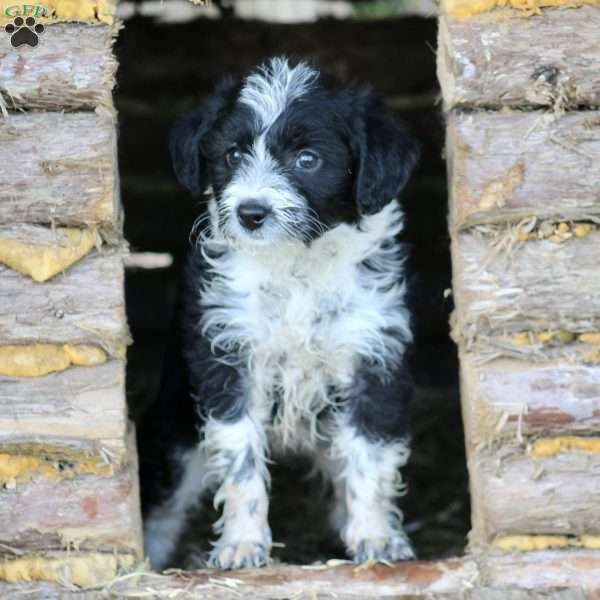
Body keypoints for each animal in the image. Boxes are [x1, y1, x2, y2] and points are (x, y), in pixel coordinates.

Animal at [139, 57, 422, 572]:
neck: (296, 266)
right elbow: (241, 461)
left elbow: (370, 459)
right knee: (165, 497)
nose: (251, 213)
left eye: (307, 160)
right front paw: (242, 544)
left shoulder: (375, 357)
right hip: (177, 422)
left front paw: (377, 539)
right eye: (232, 155)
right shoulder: (227, 359)